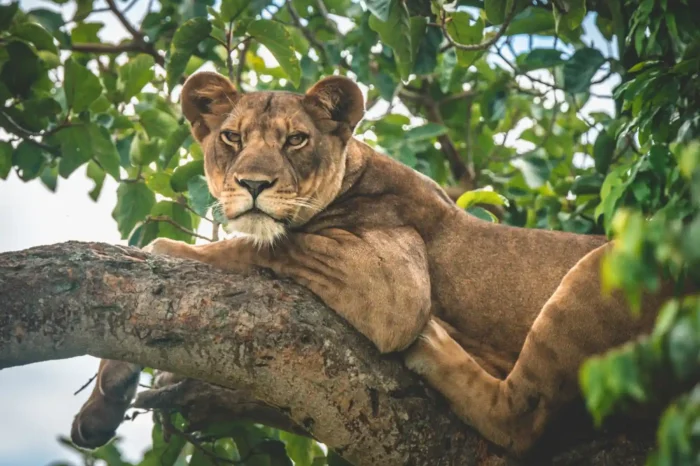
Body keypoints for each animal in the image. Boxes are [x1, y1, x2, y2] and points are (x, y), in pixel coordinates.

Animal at [70, 72, 681, 458]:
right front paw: (104, 406)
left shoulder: (394, 283)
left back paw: (433, 346)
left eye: (296, 140)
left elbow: (245, 247)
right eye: (231, 137)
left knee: (521, 421)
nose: (253, 184)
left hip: (605, 265)